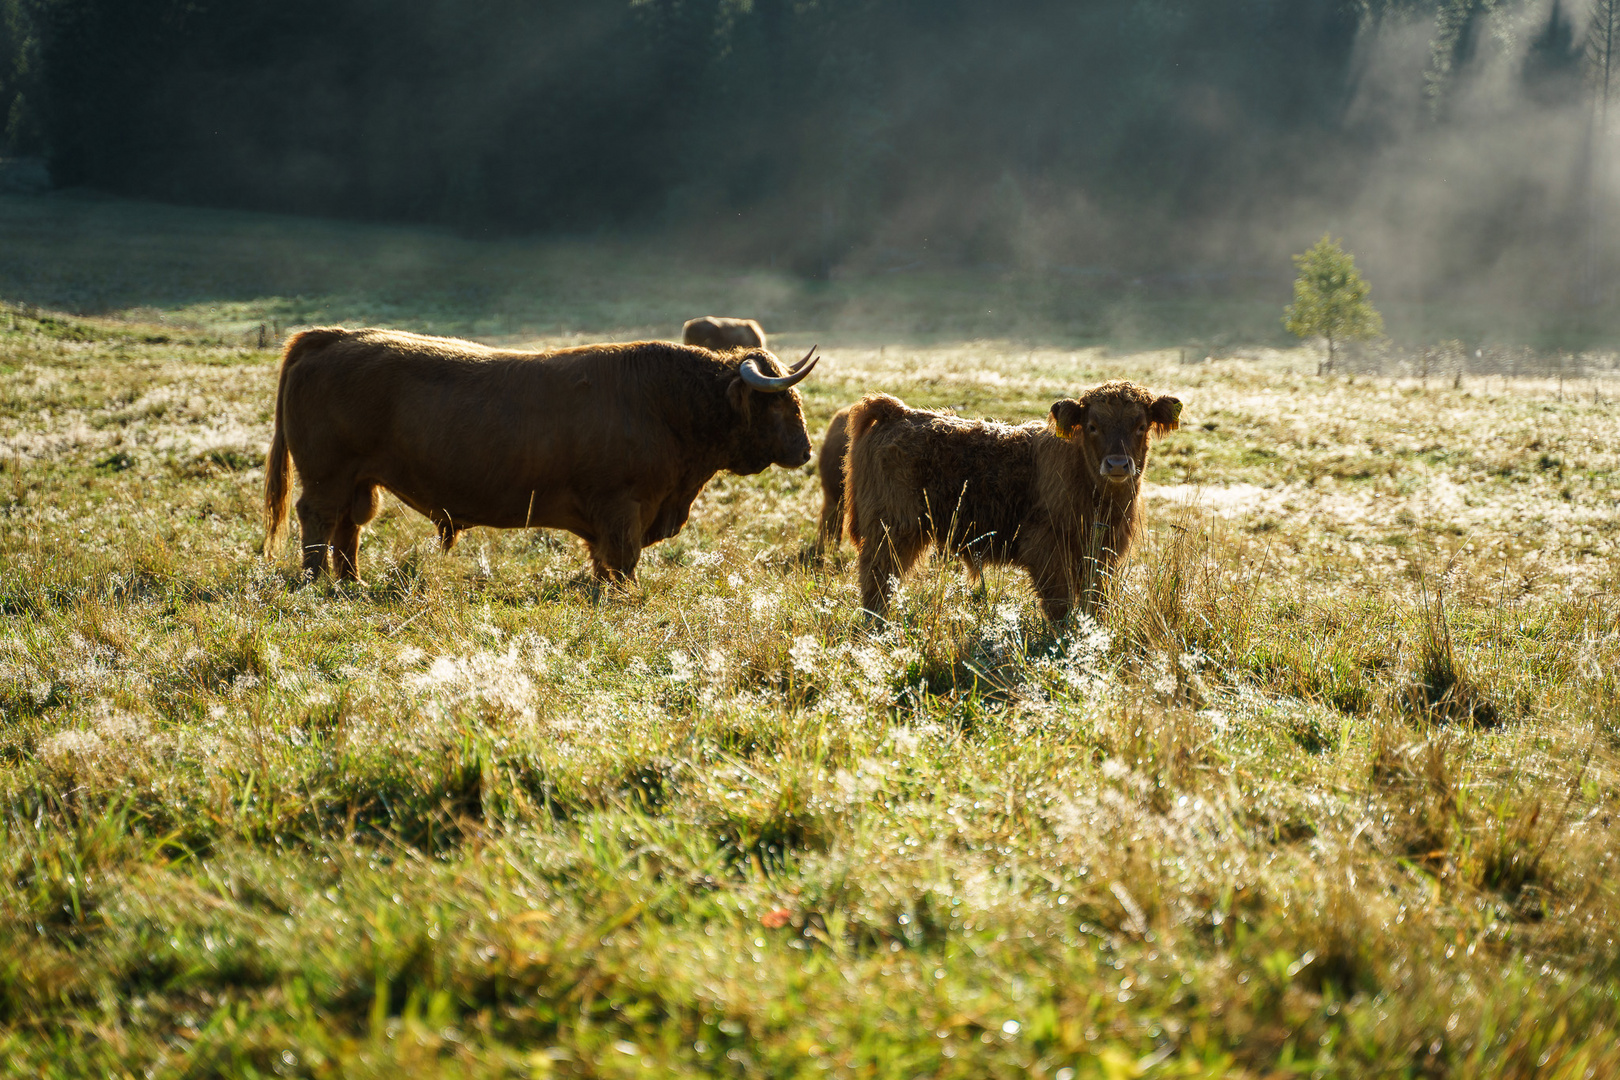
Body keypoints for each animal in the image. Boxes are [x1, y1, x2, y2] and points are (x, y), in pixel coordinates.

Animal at [268, 330, 822, 586]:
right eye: (779, 402)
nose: (806, 450)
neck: (666, 404)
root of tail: (330, 337)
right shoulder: (623, 506)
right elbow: (623, 560)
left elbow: (604, 559)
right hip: (328, 476)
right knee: (317, 519)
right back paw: (317, 581)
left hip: (360, 481)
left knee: (348, 527)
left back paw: (352, 581)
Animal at [848, 382, 1179, 621]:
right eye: (1093, 426)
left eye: (1141, 426)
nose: (1118, 464)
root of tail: (898, 412)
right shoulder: (1047, 547)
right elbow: (1060, 605)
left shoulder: (1101, 552)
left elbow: (1094, 601)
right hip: (892, 528)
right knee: (877, 579)